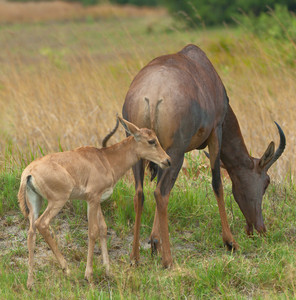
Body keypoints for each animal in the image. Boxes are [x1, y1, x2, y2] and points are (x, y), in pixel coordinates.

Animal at [17, 116, 171, 290]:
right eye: (151, 141)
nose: (167, 161)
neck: (104, 158)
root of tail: (29, 172)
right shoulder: (92, 199)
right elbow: (92, 231)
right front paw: (89, 275)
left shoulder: (97, 201)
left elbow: (103, 229)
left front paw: (108, 271)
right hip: (57, 201)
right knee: (42, 224)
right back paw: (66, 269)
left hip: (36, 202)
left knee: (31, 232)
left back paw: (30, 283)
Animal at [121, 44, 286, 268]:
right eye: (267, 181)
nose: (259, 229)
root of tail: (152, 97)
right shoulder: (216, 132)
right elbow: (217, 183)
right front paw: (230, 242)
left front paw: (155, 242)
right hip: (177, 152)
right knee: (161, 194)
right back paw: (169, 261)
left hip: (138, 152)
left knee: (140, 193)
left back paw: (135, 258)